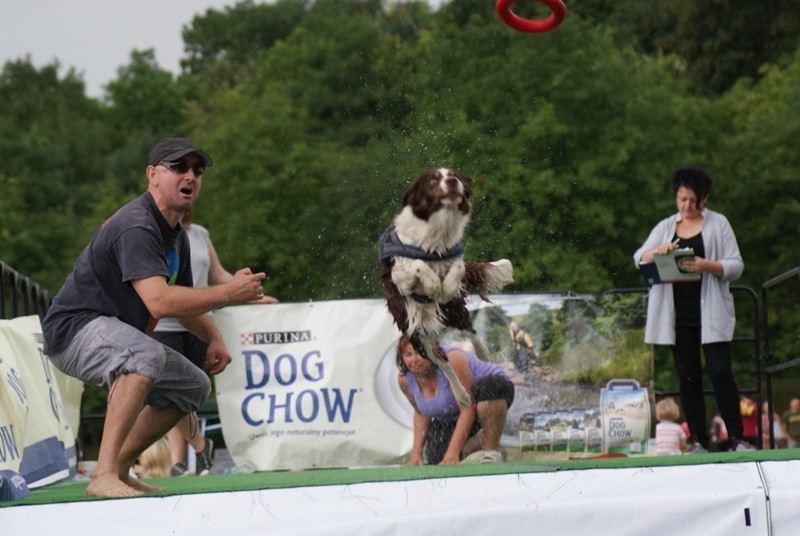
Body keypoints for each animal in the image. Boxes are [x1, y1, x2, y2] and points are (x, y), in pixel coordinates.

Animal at [380, 170, 512, 408]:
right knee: (444, 364)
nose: (453, 182)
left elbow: (458, 266)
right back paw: (461, 395)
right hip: (420, 339)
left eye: (454, 175)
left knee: (470, 331)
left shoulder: (454, 260)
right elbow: (418, 264)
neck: (437, 235)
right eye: (433, 181)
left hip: (455, 313)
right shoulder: (399, 276)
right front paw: (433, 285)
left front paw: (445, 288)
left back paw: (482, 353)